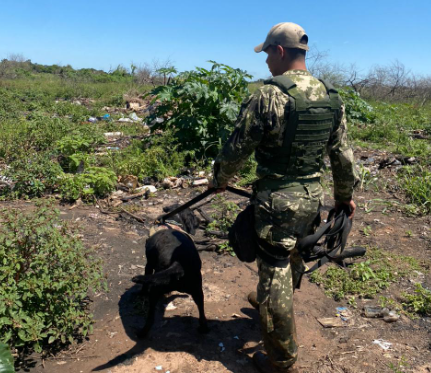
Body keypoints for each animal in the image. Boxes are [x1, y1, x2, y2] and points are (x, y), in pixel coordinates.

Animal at [132, 203, 209, 338]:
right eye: (193, 214)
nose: (200, 220)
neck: (173, 221)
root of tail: (178, 264)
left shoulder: (148, 265)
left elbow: (145, 282)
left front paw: (141, 293)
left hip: (155, 290)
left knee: (150, 319)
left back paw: (142, 333)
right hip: (198, 291)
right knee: (202, 314)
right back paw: (203, 329)